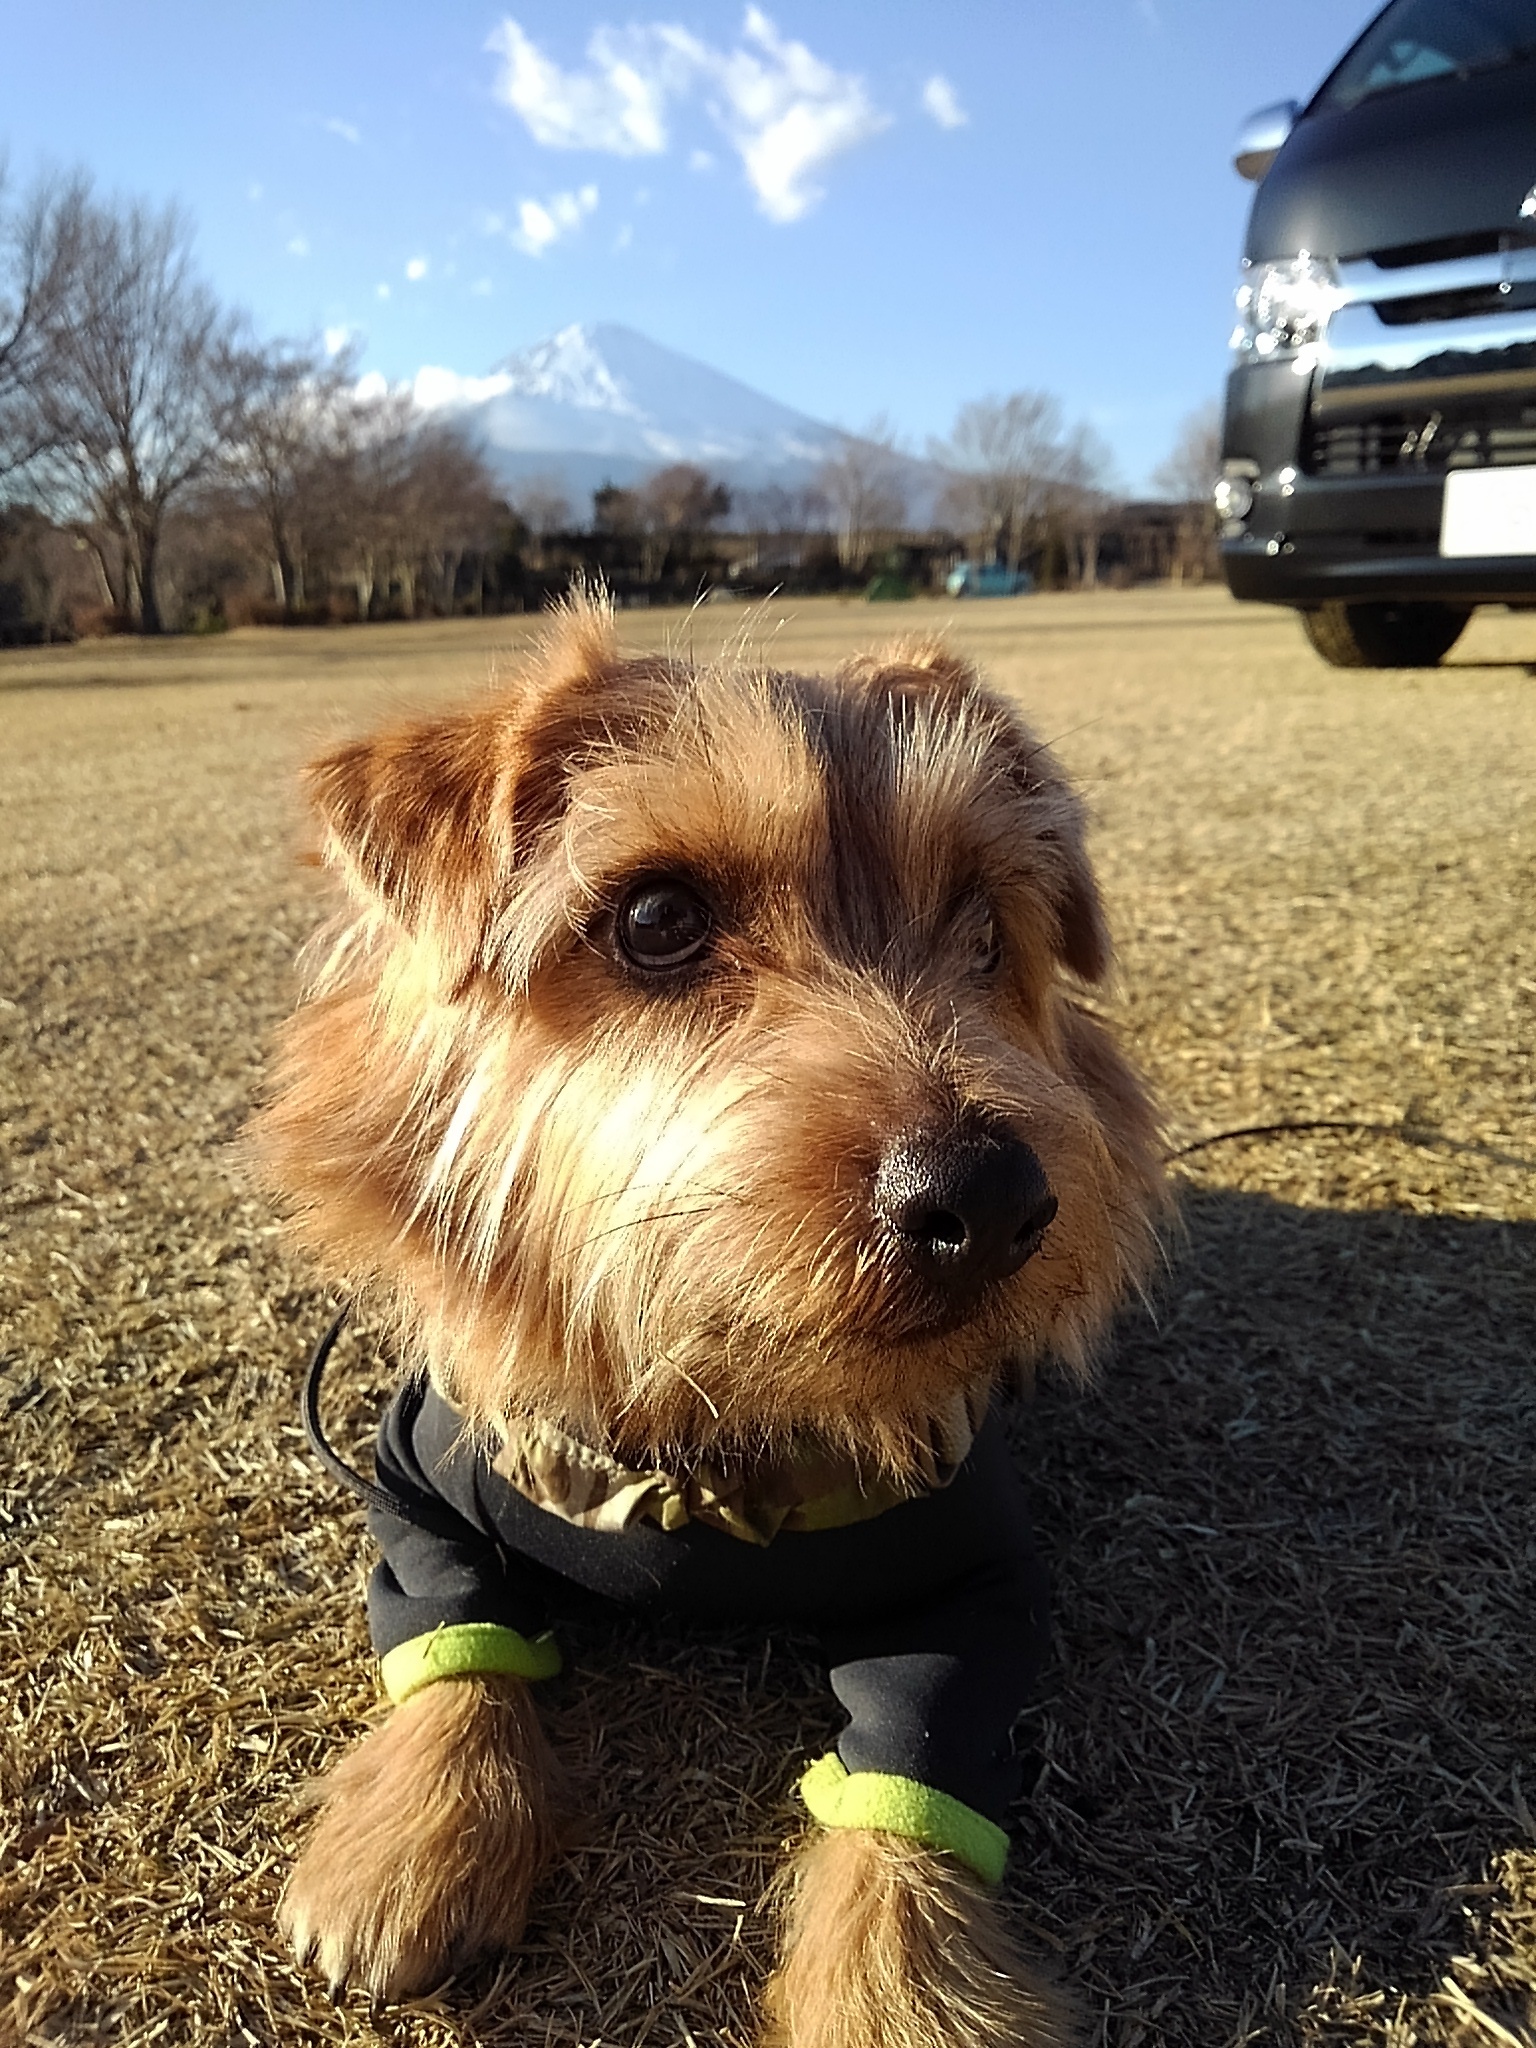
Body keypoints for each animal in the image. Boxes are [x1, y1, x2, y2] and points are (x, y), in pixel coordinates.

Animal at [256, 598, 1163, 2048]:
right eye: (657, 916)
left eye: (985, 931)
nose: (992, 1198)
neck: (708, 1436)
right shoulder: (416, 1478)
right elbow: (448, 1632)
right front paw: (413, 1838)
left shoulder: (976, 1574)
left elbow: (913, 1763)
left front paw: (897, 1986)